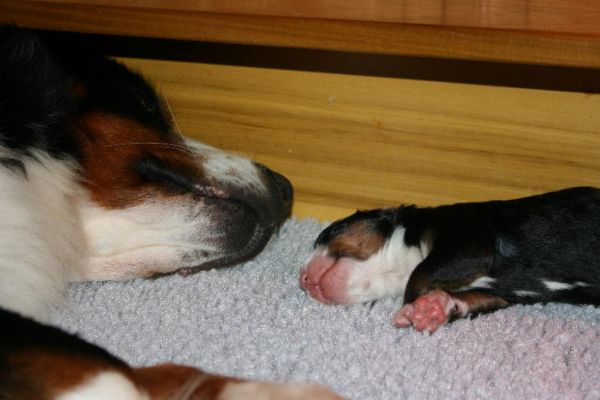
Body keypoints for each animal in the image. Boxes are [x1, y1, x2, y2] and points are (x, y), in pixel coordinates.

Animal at [302, 188, 600, 334]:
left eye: (333, 231)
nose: (302, 278)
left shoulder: (470, 242)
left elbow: (421, 272)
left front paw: (413, 309)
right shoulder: (495, 294)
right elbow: (471, 300)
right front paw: (436, 307)